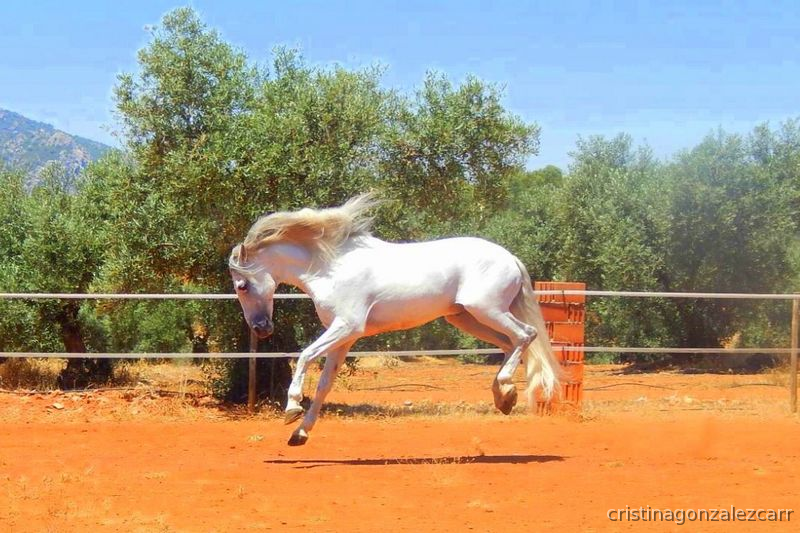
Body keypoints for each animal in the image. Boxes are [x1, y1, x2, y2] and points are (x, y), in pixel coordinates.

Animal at [229, 194, 561, 446]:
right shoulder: (344, 337)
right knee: (510, 344)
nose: (261, 329)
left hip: (486, 309)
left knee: (526, 335)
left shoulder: (346, 326)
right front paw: (299, 434)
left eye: (241, 285)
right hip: (466, 318)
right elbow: (324, 385)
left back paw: (505, 390)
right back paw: (504, 397)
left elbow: (304, 356)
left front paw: (292, 408)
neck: (329, 268)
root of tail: (511, 258)